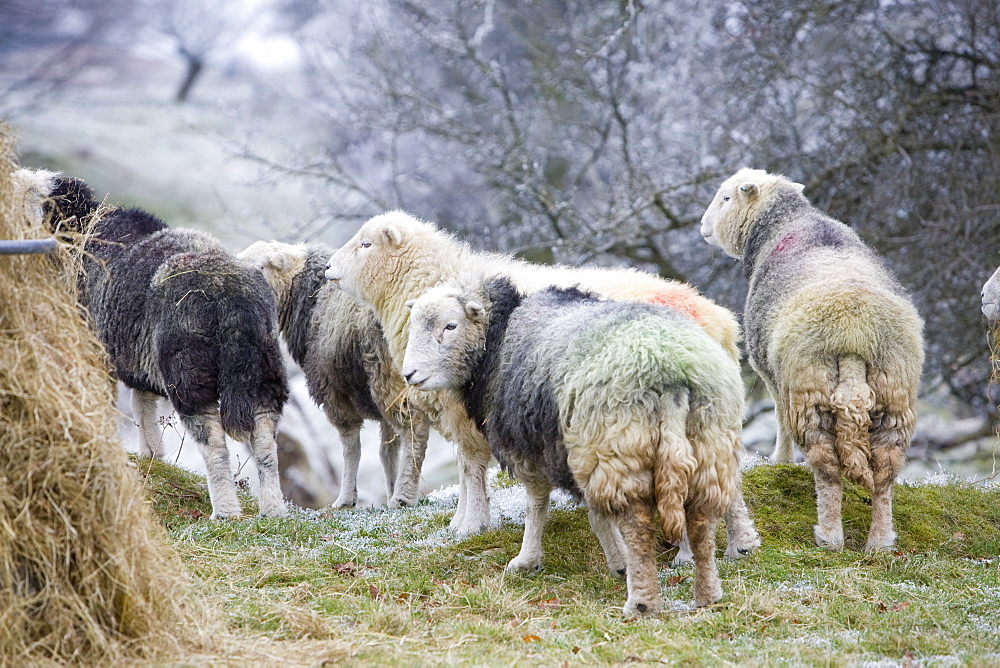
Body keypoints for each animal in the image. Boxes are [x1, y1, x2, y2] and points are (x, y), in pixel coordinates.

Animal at [15, 168, 290, 520]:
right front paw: (152, 454)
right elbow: (143, 406)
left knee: (214, 443)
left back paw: (225, 511)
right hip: (265, 370)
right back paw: (273, 509)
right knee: (266, 440)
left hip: (189, 372)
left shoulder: (96, 350)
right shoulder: (138, 357)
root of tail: (231, 300)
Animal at [240, 243, 432, 508]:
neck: (311, 296)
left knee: (416, 431)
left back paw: (404, 495)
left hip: (387, 376)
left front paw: (346, 499)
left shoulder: (334, 393)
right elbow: (387, 451)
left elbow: (351, 448)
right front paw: (389, 489)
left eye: (261, 267)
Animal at [326, 213, 756, 560]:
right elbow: (467, 466)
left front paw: (471, 523)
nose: (329, 267)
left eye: (366, 244)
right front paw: (463, 520)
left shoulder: (469, 410)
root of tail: (721, 319)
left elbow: (471, 466)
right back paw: (741, 543)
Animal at [402, 272, 748, 616]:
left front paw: (528, 559)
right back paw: (714, 583)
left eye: (450, 325)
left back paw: (641, 601)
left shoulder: (532, 447)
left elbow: (538, 504)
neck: (498, 338)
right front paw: (616, 559)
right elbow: (594, 514)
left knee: (638, 527)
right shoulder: (576, 450)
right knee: (706, 514)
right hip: (707, 436)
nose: (409, 374)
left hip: (618, 446)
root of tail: (670, 374)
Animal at [704, 168, 920, 552]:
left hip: (810, 390)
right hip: (895, 394)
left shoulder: (771, 372)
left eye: (726, 198)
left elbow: (779, 416)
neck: (784, 224)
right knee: (884, 473)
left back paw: (829, 534)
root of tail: (854, 335)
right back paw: (880, 540)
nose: (703, 227)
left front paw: (780, 461)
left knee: (828, 469)